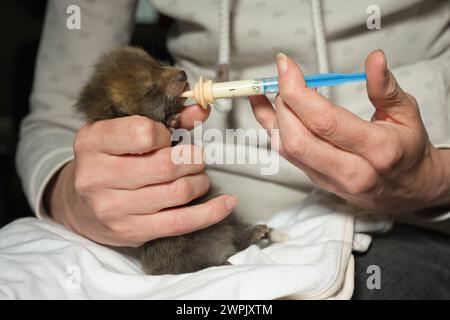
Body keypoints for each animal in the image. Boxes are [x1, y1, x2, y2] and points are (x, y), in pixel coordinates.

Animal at [75, 47, 272, 276]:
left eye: (158, 63)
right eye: (150, 90)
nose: (182, 75)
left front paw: (173, 123)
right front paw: (170, 124)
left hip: (225, 217)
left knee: (233, 231)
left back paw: (252, 234)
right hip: (175, 246)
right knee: (190, 264)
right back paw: (219, 263)